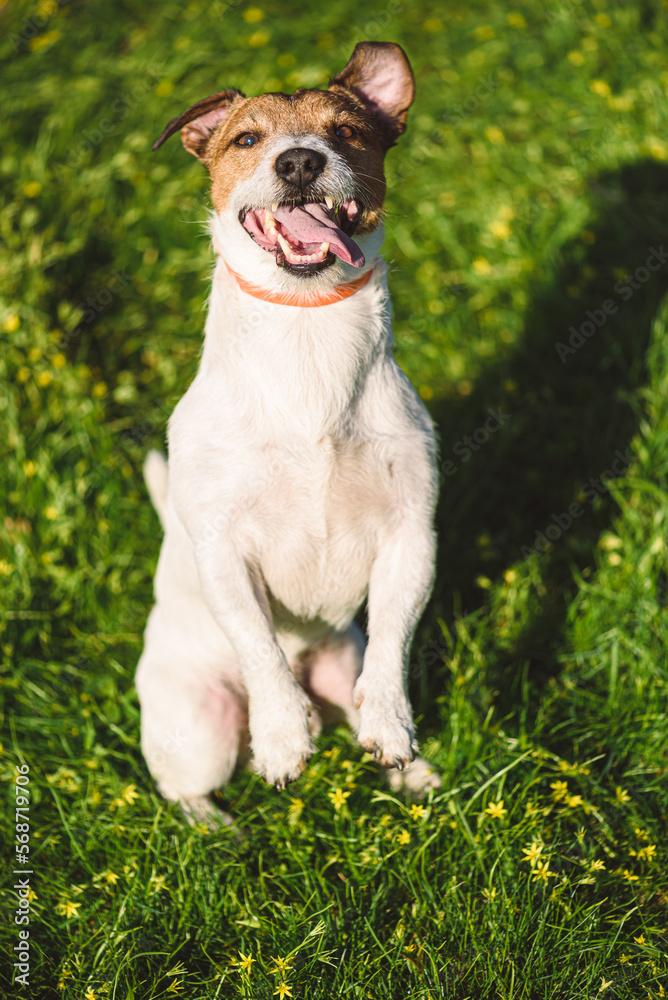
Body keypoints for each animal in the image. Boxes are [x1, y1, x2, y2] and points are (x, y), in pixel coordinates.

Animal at [136, 41, 440, 820]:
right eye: (247, 139)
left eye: (348, 132)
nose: (300, 161)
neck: (307, 335)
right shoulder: (223, 553)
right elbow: (260, 649)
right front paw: (280, 738)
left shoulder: (411, 535)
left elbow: (394, 643)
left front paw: (393, 726)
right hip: (200, 727)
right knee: (183, 786)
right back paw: (218, 827)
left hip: (339, 664)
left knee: (354, 697)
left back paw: (413, 775)